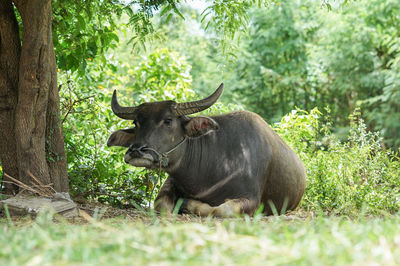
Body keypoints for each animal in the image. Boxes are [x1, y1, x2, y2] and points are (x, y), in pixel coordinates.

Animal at [106, 84, 306, 217]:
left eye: (168, 120)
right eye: (136, 122)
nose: (136, 150)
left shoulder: (251, 199)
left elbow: (222, 209)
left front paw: (187, 203)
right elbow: (160, 205)